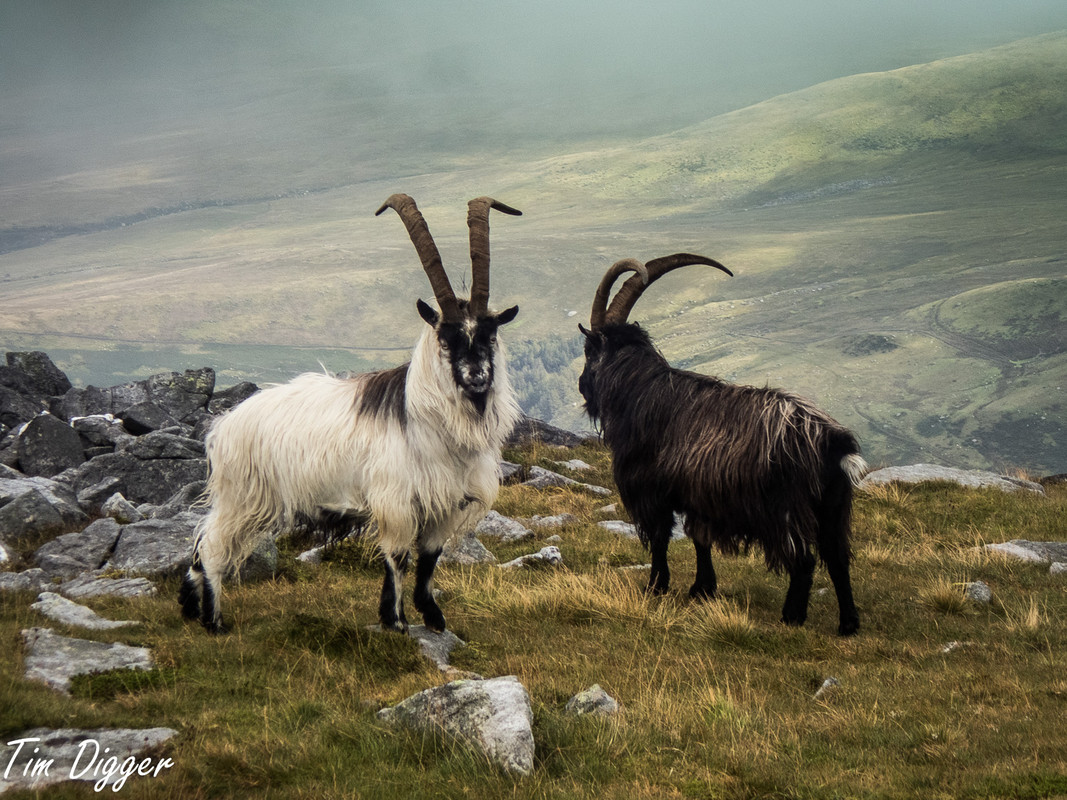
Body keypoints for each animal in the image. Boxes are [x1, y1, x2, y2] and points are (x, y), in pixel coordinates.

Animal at [179, 194, 523, 634]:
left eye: (490, 334)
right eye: (446, 337)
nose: (477, 376)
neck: (428, 423)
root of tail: (222, 427)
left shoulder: (444, 505)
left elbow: (429, 558)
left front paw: (432, 618)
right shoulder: (395, 500)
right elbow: (398, 557)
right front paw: (396, 622)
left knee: (202, 540)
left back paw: (191, 606)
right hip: (243, 497)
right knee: (212, 546)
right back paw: (214, 620)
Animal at [578, 255, 864, 635]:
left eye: (588, 351)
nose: (582, 386)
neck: (641, 390)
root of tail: (833, 442)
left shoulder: (652, 492)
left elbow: (660, 539)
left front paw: (656, 586)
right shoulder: (699, 496)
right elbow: (700, 539)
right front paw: (702, 589)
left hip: (786, 508)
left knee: (803, 559)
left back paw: (791, 616)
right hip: (833, 506)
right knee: (837, 558)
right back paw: (848, 623)